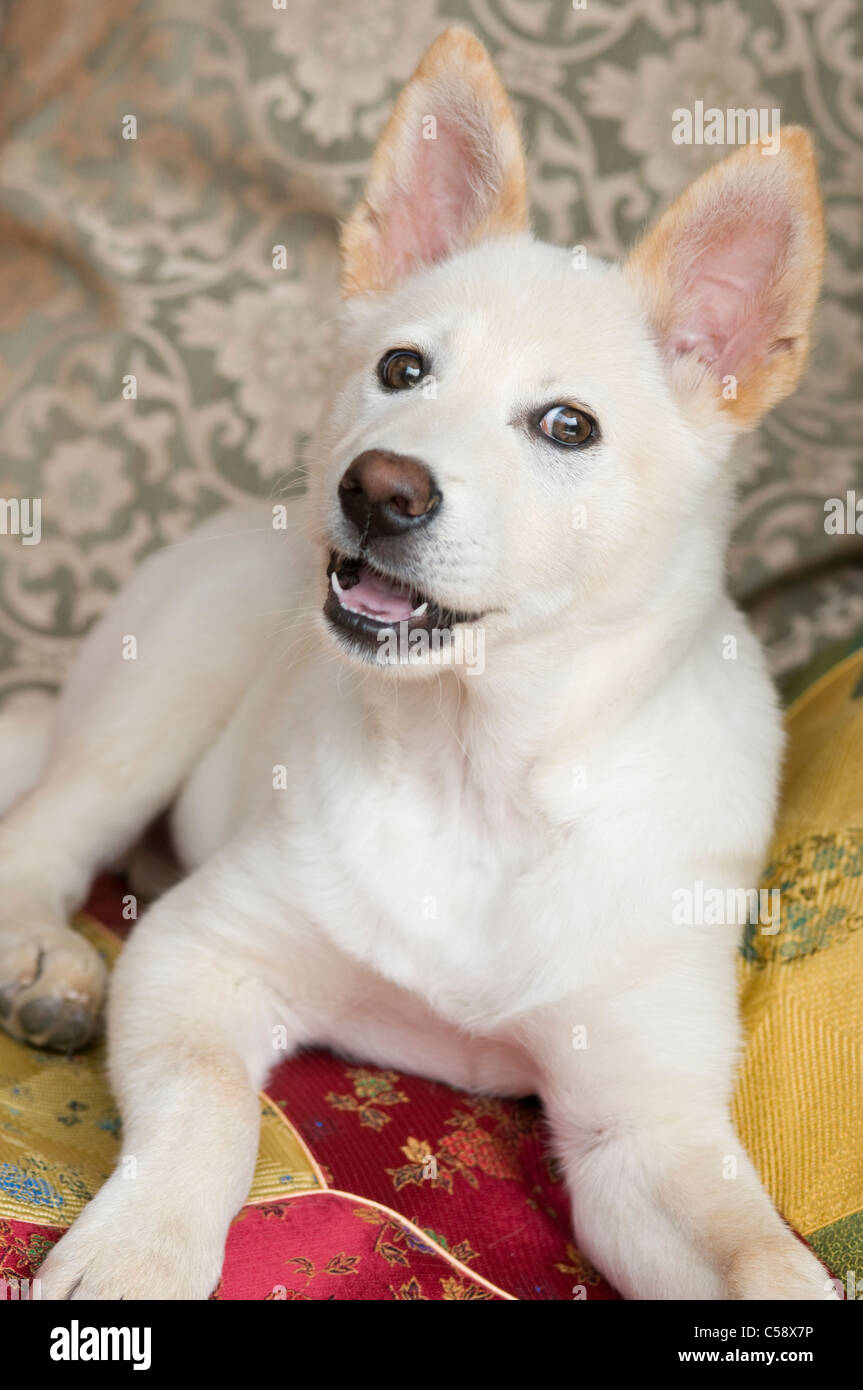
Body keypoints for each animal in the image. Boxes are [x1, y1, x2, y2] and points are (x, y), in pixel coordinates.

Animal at [0, 27, 833, 1295]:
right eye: (401, 370)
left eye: (566, 426)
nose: (375, 490)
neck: (477, 767)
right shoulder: (196, 954)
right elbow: (207, 1111)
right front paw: (138, 1253)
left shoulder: (647, 1124)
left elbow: (758, 1251)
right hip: (163, 680)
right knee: (45, 826)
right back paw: (47, 956)